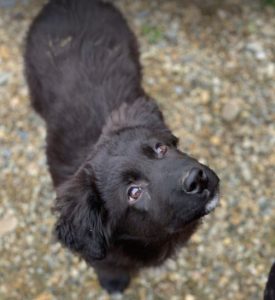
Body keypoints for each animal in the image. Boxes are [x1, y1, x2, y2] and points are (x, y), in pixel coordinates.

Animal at [24, 0, 221, 292]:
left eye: (161, 149)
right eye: (134, 192)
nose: (197, 179)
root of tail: (68, 3)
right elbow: (109, 266)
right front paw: (114, 283)